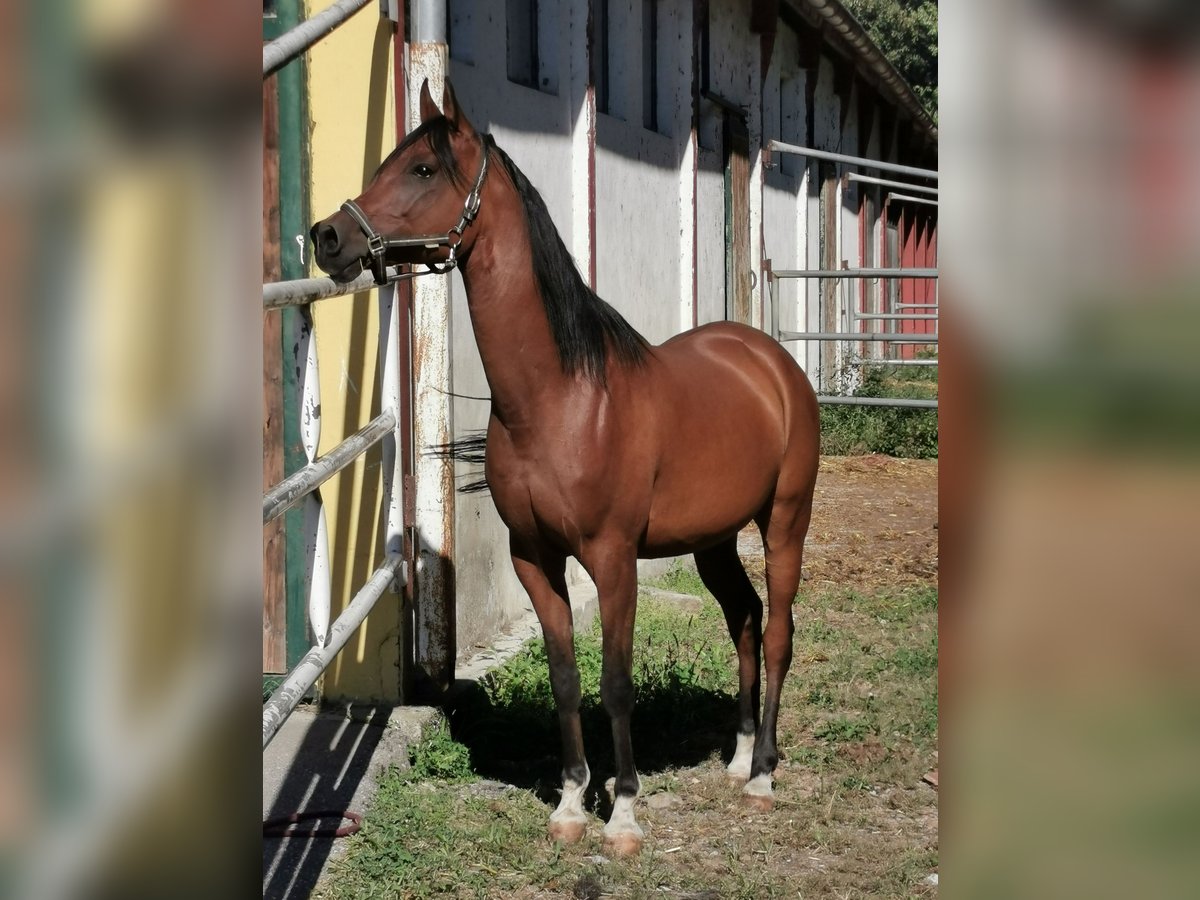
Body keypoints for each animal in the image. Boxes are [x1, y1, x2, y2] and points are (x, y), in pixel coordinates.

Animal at [309, 82, 820, 859]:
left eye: (423, 169)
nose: (327, 236)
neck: (562, 400)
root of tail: (771, 363)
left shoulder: (612, 559)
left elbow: (615, 682)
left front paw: (625, 814)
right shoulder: (535, 557)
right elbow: (566, 677)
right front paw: (574, 803)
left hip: (785, 522)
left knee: (780, 630)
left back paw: (762, 775)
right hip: (713, 541)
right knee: (745, 618)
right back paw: (736, 759)